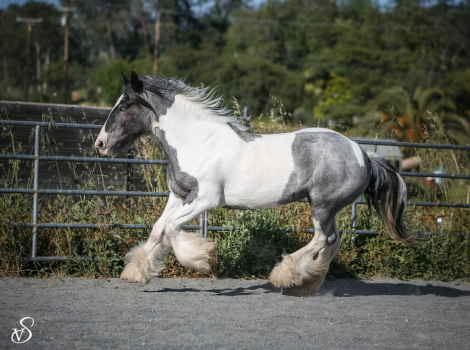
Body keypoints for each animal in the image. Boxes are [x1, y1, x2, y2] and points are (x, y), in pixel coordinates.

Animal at [93, 71, 420, 296]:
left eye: (124, 107)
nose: (100, 144)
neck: (196, 141)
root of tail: (363, 154)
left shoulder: (205, 199)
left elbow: (172, 228)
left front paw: (201, 259)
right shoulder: (178, 194)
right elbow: (159, 228)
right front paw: (136, 272)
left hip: (322, 205)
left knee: (322, 239)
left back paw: (284, 275)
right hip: (328, 207)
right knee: (333, 242)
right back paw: (306, 284)